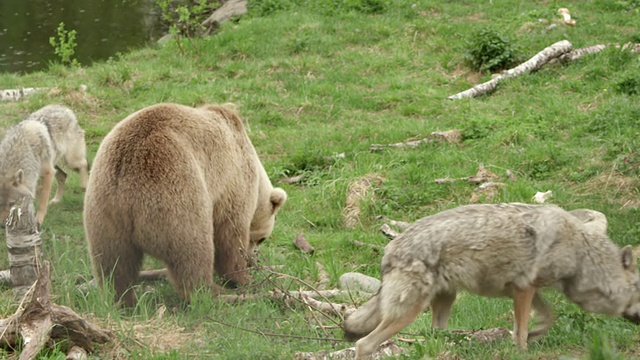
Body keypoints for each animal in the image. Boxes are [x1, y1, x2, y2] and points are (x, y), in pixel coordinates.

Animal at [83, 102, 288, 306]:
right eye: (262, 239)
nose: (252, 260)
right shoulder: (233, 182)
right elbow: (229, 234)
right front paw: (244, 278)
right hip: (175, 195)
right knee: (192, 253)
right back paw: (211, 292)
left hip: (102, 213)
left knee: (114, 264)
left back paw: (122, 300)